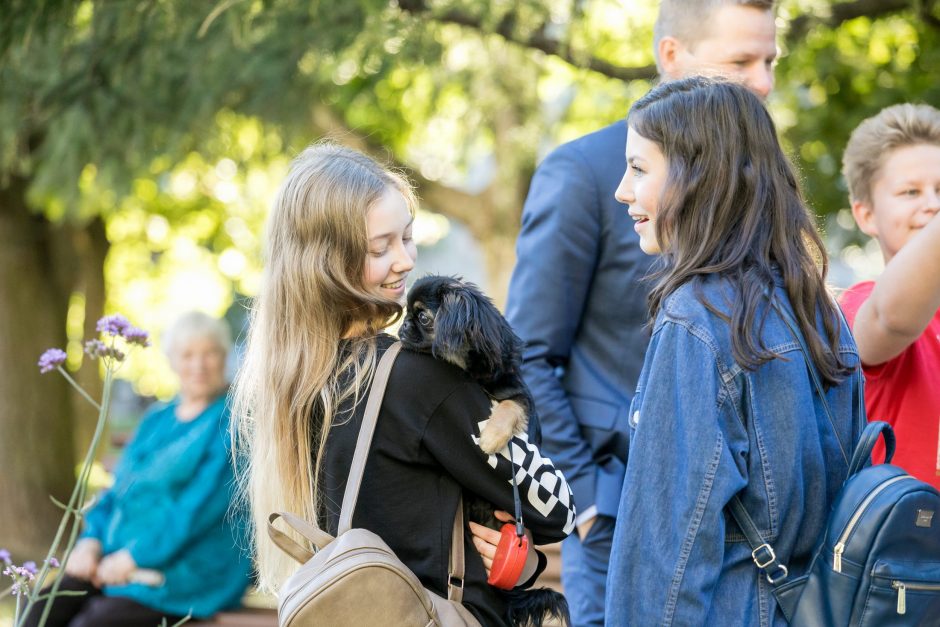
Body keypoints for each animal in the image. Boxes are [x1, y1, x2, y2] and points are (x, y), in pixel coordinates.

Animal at [396, 276, 564, 627]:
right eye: (406, 313)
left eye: (422, 317)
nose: (402, 327)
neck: (470, 372)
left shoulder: (519, 395)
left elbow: (509, 406)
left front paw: (491, 437)